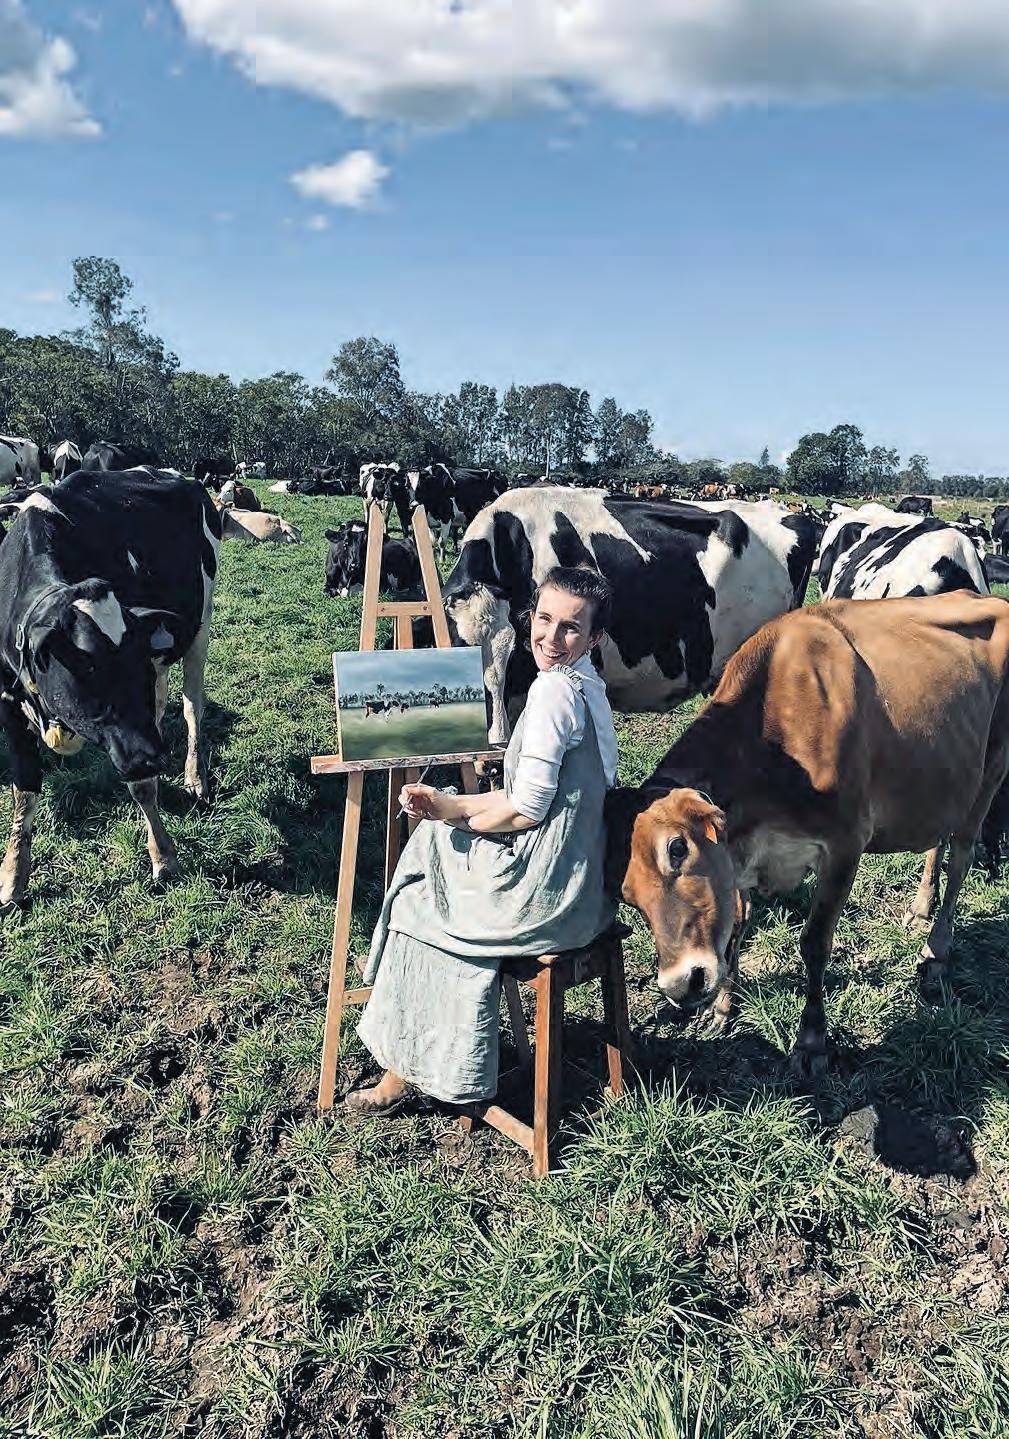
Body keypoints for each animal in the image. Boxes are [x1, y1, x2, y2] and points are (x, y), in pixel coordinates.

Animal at [0, 470, 220, 910]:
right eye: (88, 668)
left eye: (132, 662)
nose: (155, 758)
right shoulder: (7, 701)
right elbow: (24, 792)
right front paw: (13, 877)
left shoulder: (135, 733)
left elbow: (141, 786)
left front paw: (163, 855)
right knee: (163, 703)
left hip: (199, 627)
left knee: (191, 706)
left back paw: (194, 775)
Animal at [605, 591, 1009, 1074]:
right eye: (626, 895)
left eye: (678, 849)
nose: (680, 985)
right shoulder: (740, 859)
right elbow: (736, 924)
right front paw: (723, 1008)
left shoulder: (845, 844)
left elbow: (814, 943)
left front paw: (811, 1042)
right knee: (939, 840)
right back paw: (919, 907)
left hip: (993, 766)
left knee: (962, 855)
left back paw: (936, 951)